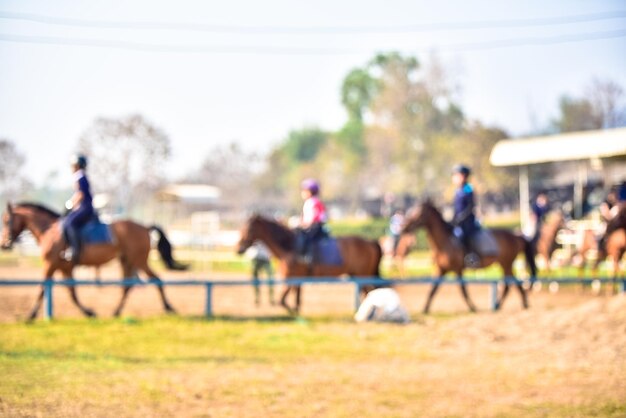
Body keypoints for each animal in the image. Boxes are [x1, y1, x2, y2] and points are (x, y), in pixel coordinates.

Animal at [0, 202, 188, 320]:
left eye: (6, 221)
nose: (4, 244)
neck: (49, 231)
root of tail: (144, 226)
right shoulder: (65, 268)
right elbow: (72, 293)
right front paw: (89, 313)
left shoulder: (50, 265)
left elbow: (42, 290)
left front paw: (30, 316)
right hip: (127, 261)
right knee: (128, 286)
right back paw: (116, 312)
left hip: (139, 261)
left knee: (155, 280)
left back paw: (168, 308)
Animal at [234, 216, 380, 314]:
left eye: (249, 229)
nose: (239, 248)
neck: (289, 247)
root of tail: (370, 242)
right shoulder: (296, 280)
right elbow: (295, 299)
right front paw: (295, 311)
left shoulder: (291, 279)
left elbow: (283, 301)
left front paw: (293, 312)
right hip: (356, 275)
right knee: (368, 292)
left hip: (363, 275)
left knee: (370, 292)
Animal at [398, 201, 532, 312]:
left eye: (418, 213)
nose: (404, 227)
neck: (445, 243)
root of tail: (516, 236)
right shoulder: (440, 269)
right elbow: (433, 289)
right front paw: (425, 309)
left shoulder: (458, 269)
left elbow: (463, 290)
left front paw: (473, 308)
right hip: (505, 264)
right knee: (513, 283)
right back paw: (519, 304)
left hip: (506, 264)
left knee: (509, 284)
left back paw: (503, 304)